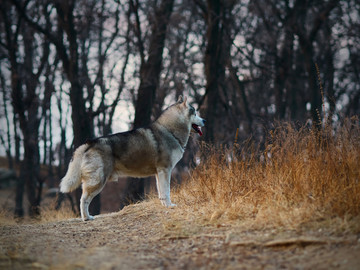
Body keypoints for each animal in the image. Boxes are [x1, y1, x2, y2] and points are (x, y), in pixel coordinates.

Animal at [59, 96, 205, 220]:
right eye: (195, 113)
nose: (204, 120)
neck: (169, 130)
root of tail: (89, 143)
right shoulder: (165, 170)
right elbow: (167, 191)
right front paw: (169, 206)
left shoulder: (159, 173)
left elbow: (161, 192)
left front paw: (164, 205)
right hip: (98, 180)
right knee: (83, 199)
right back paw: (86, 218)